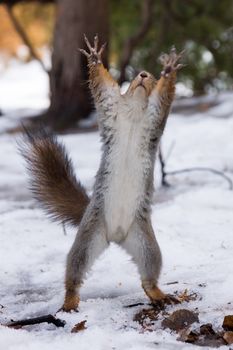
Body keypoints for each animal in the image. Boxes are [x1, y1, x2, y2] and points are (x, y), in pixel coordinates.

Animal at [20, 35, 184, 312]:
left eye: (151, 76)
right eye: (134, 79)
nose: (142, 75)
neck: (135, 109)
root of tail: (117, 236)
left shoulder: (156, 113)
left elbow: (164, 95)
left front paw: (169, 69)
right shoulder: (110, 106)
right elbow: (102, 84)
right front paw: (95, 58)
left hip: (146, 244)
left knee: (148, 276)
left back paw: (158, 294)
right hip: (88, 237)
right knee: (75, 272)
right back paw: (70, 301)